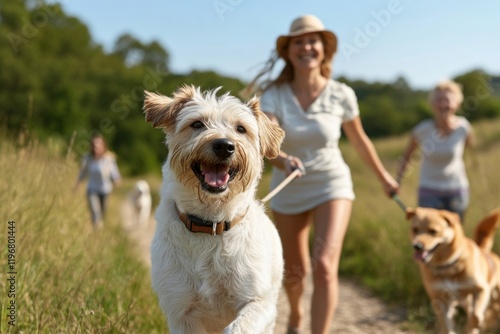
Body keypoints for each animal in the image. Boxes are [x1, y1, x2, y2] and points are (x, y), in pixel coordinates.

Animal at [144, 85, 286, 332]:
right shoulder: (181, 312)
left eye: (241, 129)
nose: (224, 146)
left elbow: (238, 326)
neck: (211, 222)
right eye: (197, 124)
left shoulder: (259, 302)